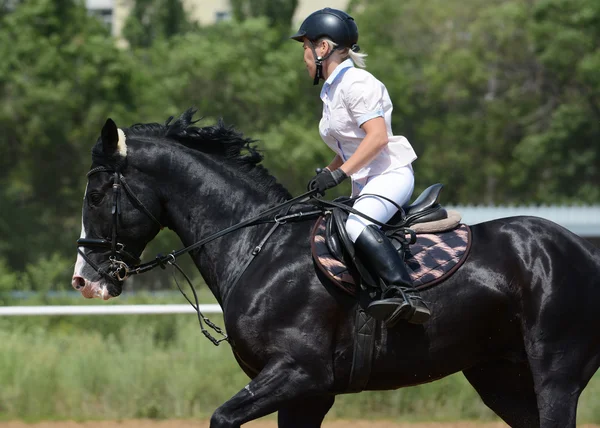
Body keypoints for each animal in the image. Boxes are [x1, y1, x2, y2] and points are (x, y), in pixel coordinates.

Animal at [72, 111, 600, 428]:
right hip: (498, 376)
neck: (257, 247)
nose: (85, 280)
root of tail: (582, 251)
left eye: (96, 196)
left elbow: (222, 417)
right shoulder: (304, 395)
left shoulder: (300, 374)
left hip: (554, 374)